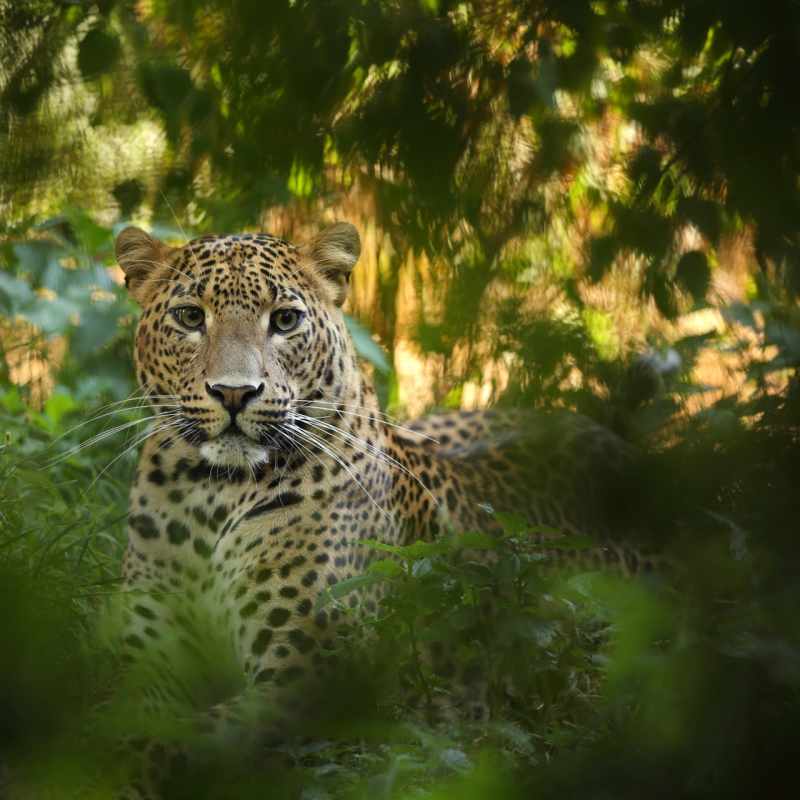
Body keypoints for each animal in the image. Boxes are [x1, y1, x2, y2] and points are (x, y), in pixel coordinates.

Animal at [110, 221, 640, 796]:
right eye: (190, 317)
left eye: (285, 320)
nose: (234, 393)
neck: (211, 495)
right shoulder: (147, 651)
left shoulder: (310, 677)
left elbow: (175, 740)